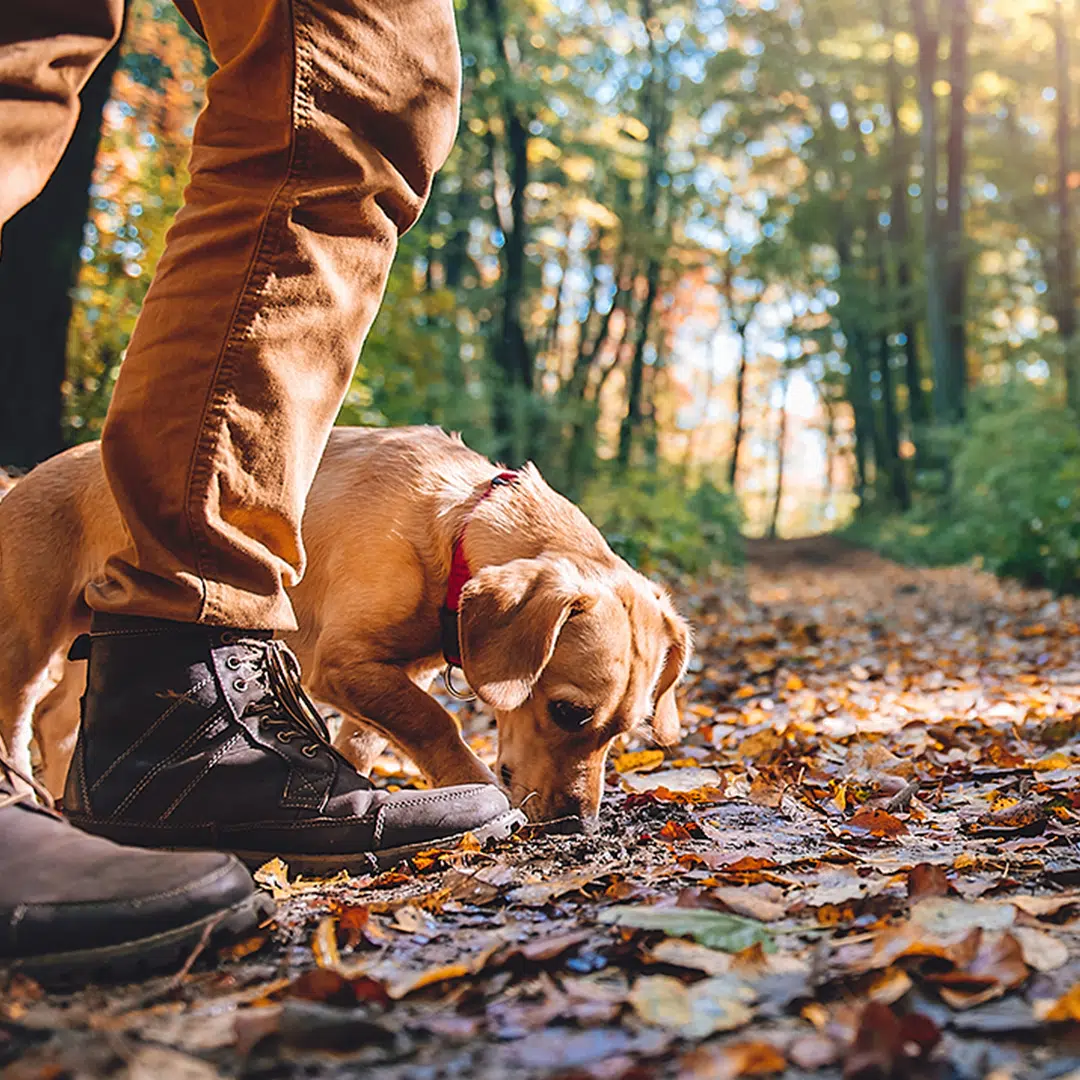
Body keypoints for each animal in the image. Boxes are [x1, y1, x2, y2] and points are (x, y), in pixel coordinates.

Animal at [0, 425, 691, 820]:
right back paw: (24, 796)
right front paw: (472, 788)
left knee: (61, 721)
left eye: (623, 733)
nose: (580, 821)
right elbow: (434, 721)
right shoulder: (343, 662)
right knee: (21, 717)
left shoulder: (388, 675)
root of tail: (25, 476)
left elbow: (368, 738)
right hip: (27, 643)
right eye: (568, 712)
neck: (456, 527)